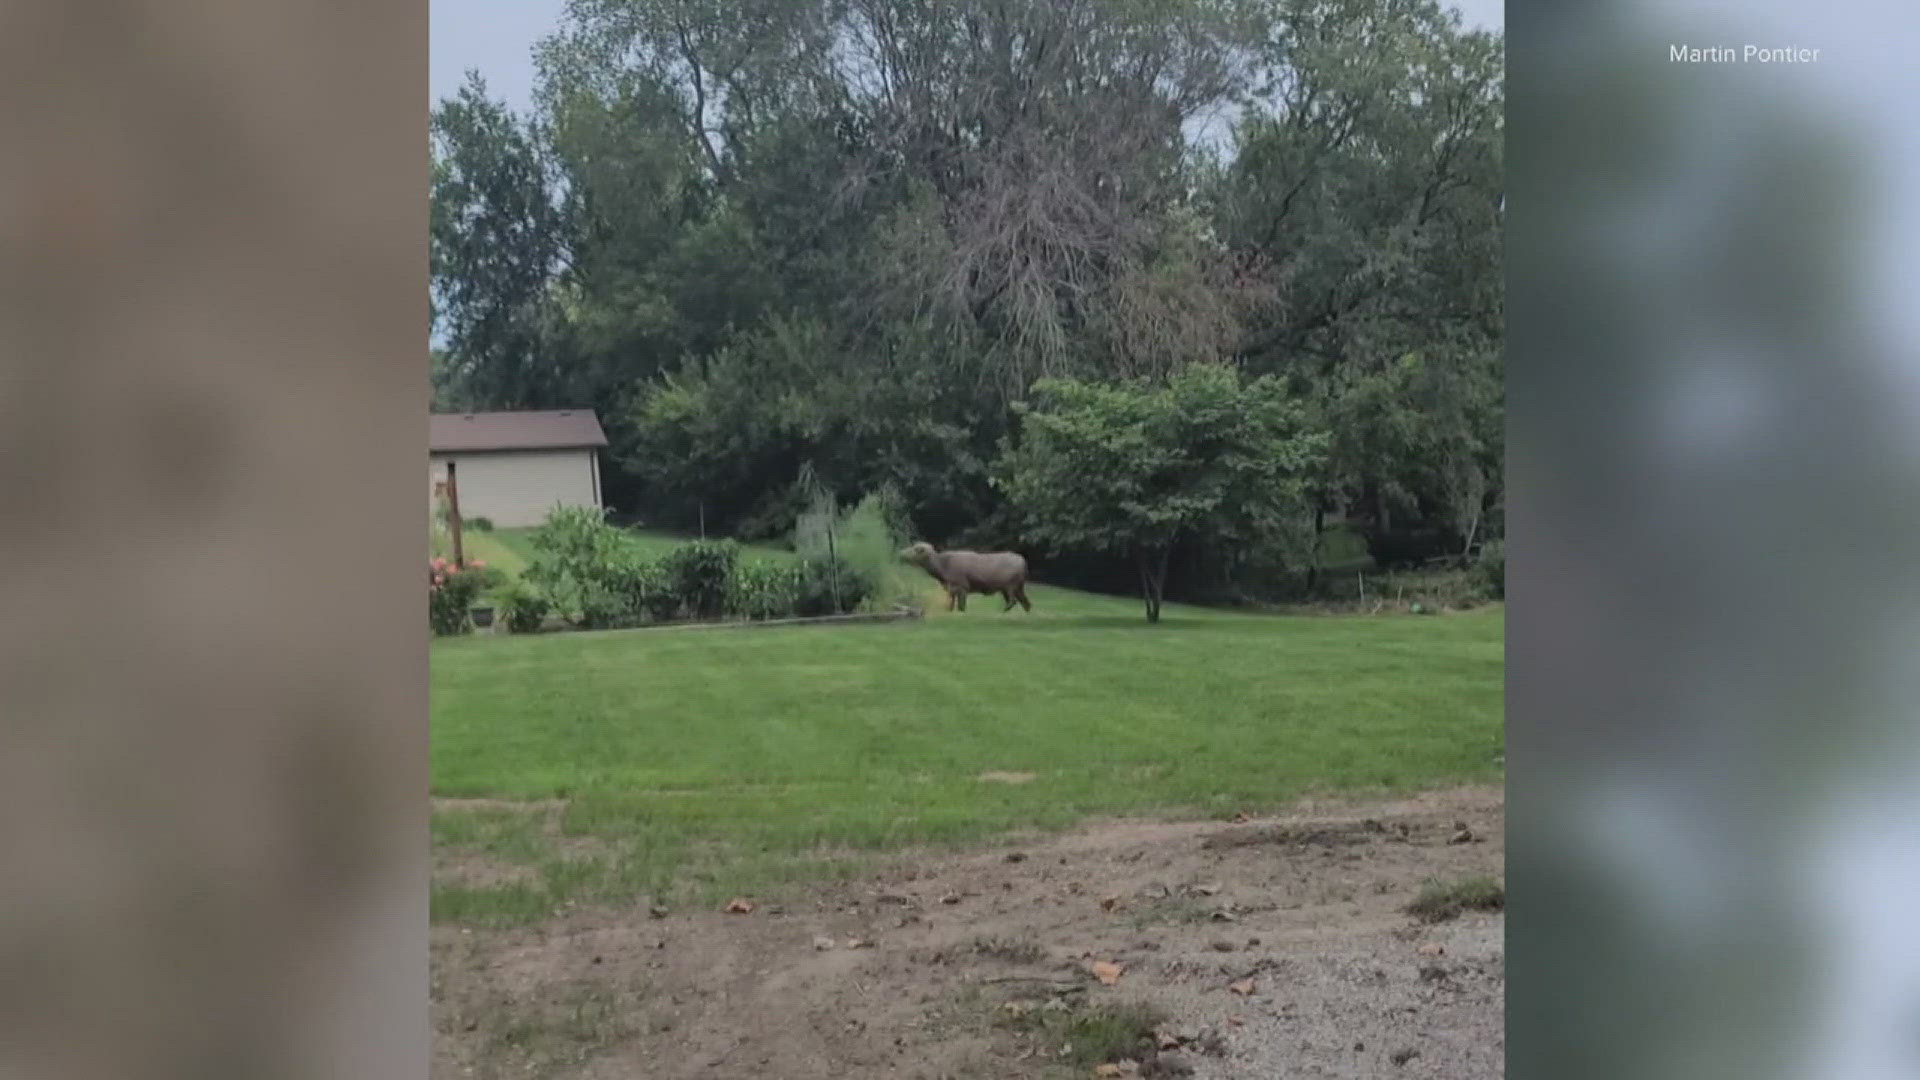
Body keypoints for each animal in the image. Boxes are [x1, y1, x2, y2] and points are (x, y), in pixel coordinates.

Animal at [902, 538, 1036, 614]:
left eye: (916, 549)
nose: (901, 553)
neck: (942, 566)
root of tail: (1023, 562)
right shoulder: (953, 589)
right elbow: (951, 605)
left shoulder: (961, 587)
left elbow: (961, 606)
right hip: (1018, 587)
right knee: (1026, 603)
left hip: (1009, 586)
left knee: (1013, 601)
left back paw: (1001, 612)